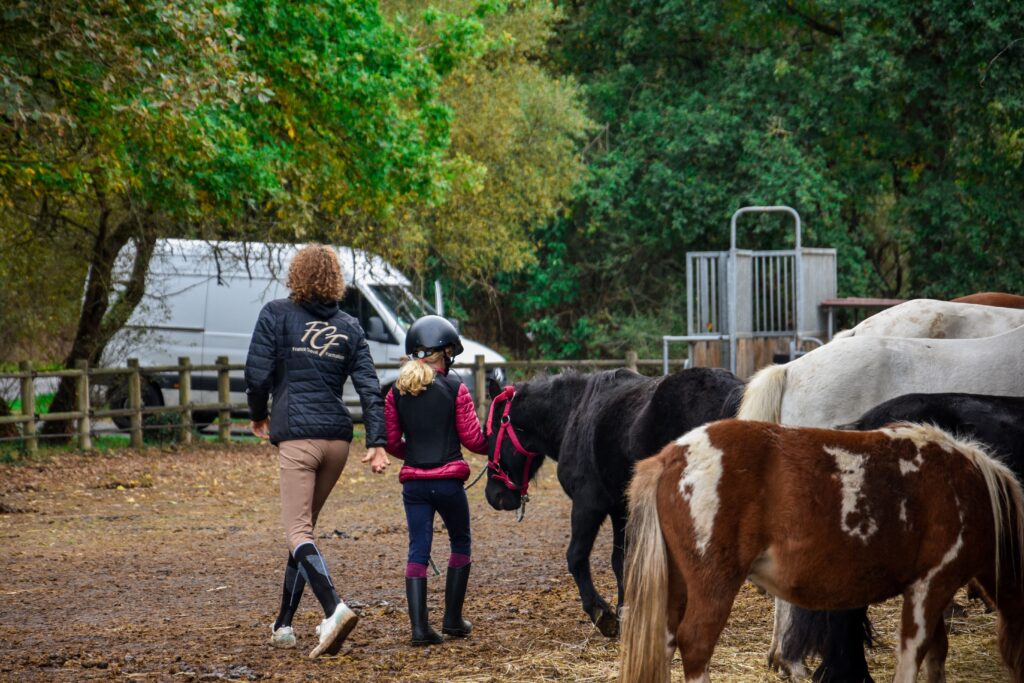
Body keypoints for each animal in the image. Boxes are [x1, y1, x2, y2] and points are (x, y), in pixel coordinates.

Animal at [483, 366, 741, 638]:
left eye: (488, 434)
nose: (494, 495)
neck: (573, 413)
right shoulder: (620, 509)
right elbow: (621, 562)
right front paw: (625, 612)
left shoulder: (587, 505)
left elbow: (576, 556)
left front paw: (601, 614)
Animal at [614, 421, 1024, 683]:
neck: (971, 491)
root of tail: (671, 457)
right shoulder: (930, 586)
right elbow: (914, 654)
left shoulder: (932, 593)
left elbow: (936, 656)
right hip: (713, 586)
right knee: (696, 645)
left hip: (677, 586)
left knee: (666, 642)